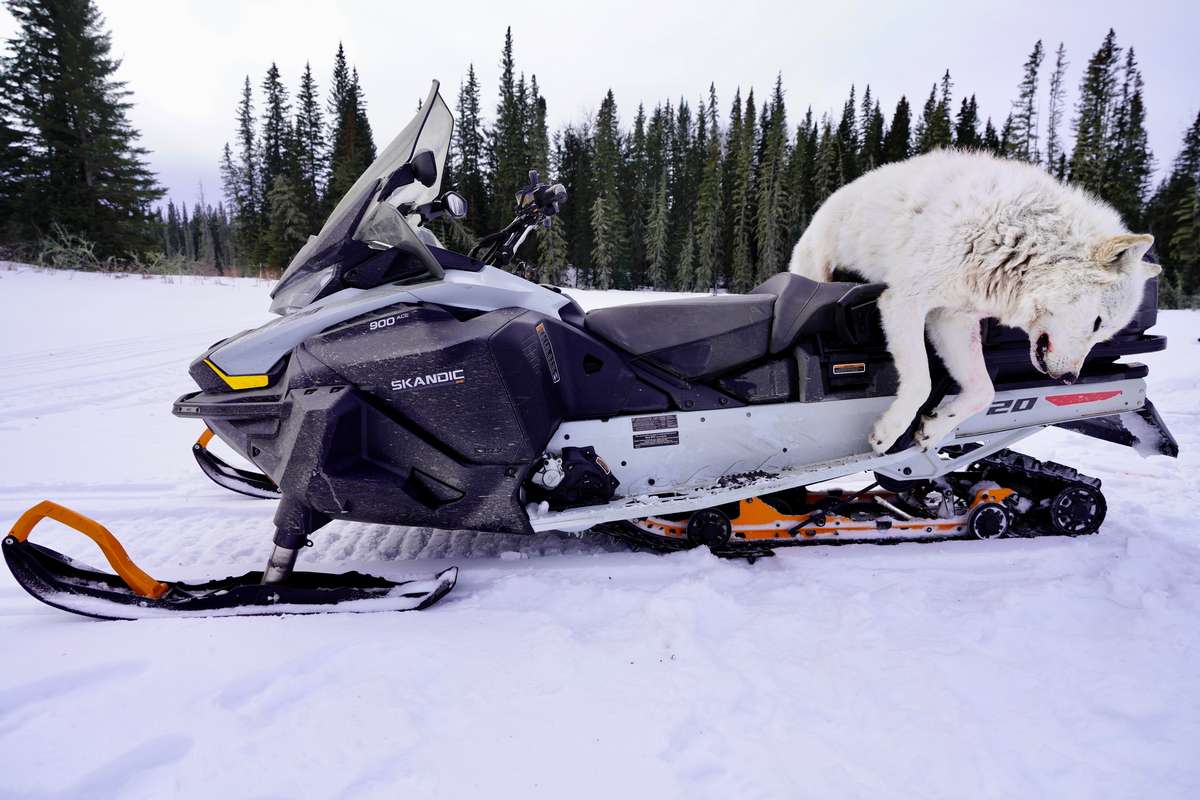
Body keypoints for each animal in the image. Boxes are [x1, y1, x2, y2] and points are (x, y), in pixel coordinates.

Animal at [788, 149, 1161, 454]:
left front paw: (936, 427)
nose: (1070, 379)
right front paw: (888, 433)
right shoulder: (903, 301)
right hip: (816, 269)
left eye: (1104, 335)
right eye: (1098, 323)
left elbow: (985, 391)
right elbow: (921, 382)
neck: (1013, 242)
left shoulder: (951, 318)